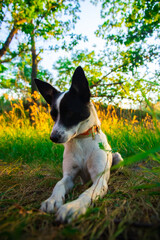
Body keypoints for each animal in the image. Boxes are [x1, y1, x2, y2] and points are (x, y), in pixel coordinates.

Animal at [35, 66, 122, 222]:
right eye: (53, 115)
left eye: (70, 113)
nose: (53, 137)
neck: (81, 140)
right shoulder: (69, 176)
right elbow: (59, 184)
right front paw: (52, 200)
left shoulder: (99, 179)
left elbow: (88, 193)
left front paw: (73, 207)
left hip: (117, 157)